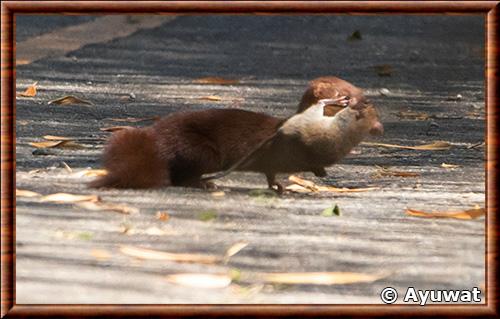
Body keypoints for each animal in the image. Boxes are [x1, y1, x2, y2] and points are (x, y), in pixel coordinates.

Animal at [90, 76, 380, 191]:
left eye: (357, 89)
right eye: (347, 93)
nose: (367, 101)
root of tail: (155, 137)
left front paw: (281, 185)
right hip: (202, 149)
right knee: (181, 175)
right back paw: (206, 183)